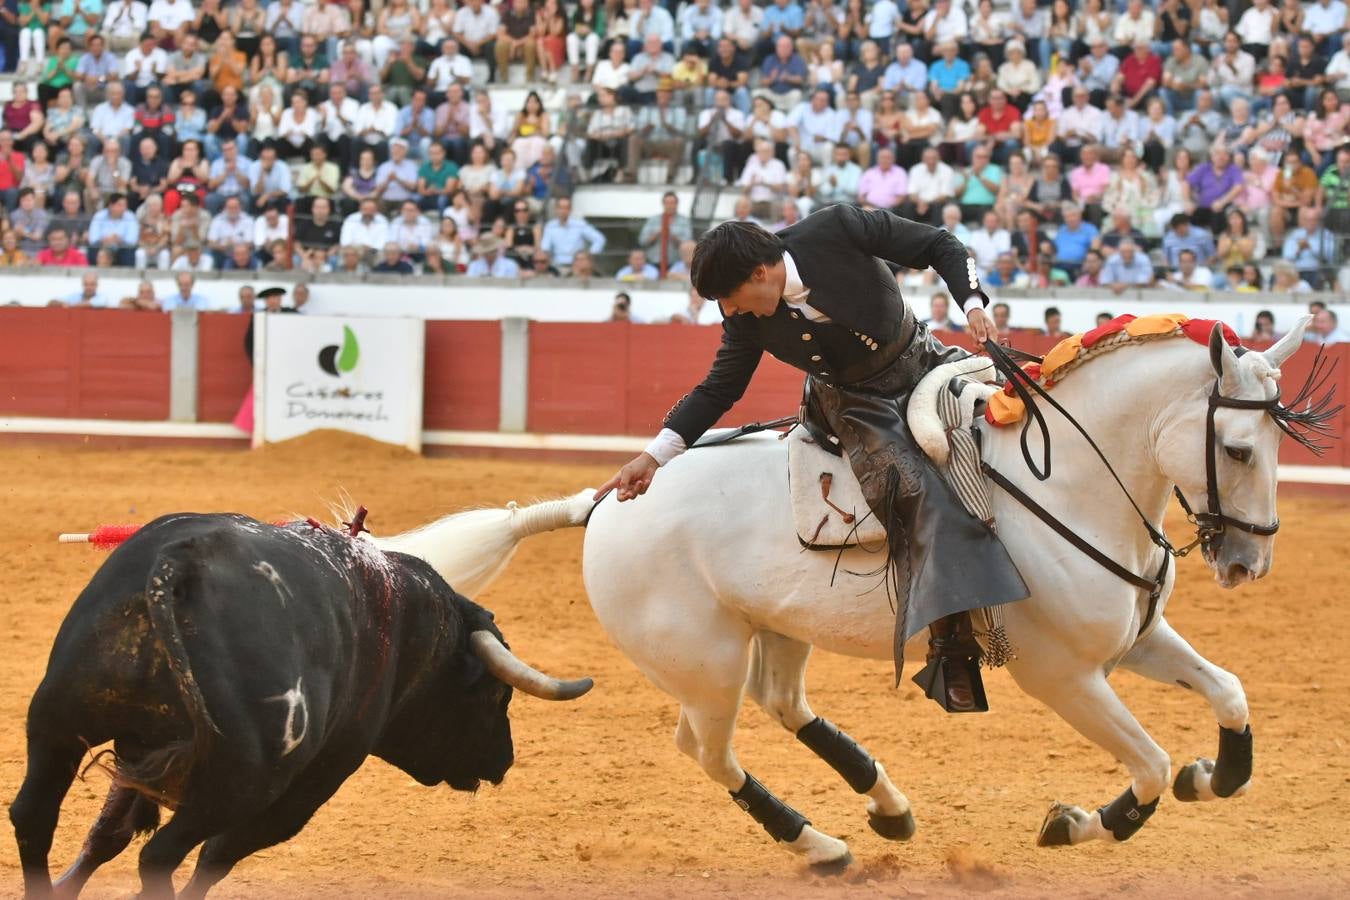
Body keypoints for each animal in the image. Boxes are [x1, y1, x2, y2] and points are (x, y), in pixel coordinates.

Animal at [9, 512, 591, 900]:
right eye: (496, 694)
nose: (504, 760)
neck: (408, 625)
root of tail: (179, 565)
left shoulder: (138, 751)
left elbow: (109, 831)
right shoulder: (310, 785)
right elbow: (215, 856)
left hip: (58, 723)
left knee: (34, 815)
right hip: (241, 781)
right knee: (162, 856)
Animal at [378, 319, 1317, 868]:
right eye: (1238, 448)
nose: (1248, 565)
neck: (1071, 484)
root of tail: (610, 496)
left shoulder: (1133, 641)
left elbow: (1230, 696)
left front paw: (1214, 773)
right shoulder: (1061, 674)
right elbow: (1149, 765)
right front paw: (1079, 821)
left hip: (775, 628)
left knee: (783, 705)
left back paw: (887, 808)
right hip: (704, 658)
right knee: (707, 747)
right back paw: (818, 840)